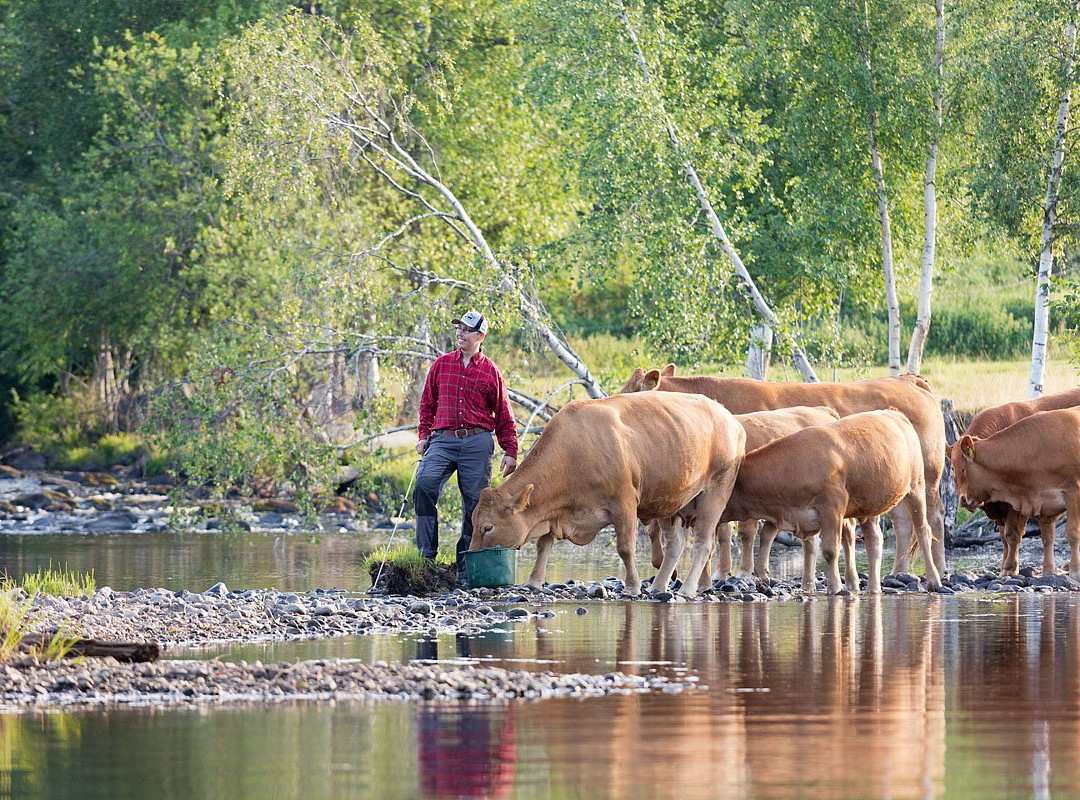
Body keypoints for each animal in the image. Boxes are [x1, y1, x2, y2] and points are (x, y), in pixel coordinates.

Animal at [721, 412, 941, 591]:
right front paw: (762, 573)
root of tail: (894, 413)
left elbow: (829, 550)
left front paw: (835, 587)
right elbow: (766, 536)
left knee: (923, 530)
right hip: (869, 505)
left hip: (916, 487)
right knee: (873, 540)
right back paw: (872, 587)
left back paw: (933, 580)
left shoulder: (832, 507)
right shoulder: (784, 512)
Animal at [950, 384, 1080, 574]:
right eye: (951, 468)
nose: (963, 500)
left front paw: (1011, 568)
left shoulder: (1071, 493)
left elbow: (1015, 534)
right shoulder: (1041, 501)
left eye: (963, 469)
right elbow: (1043, 537)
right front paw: (1046, 571)